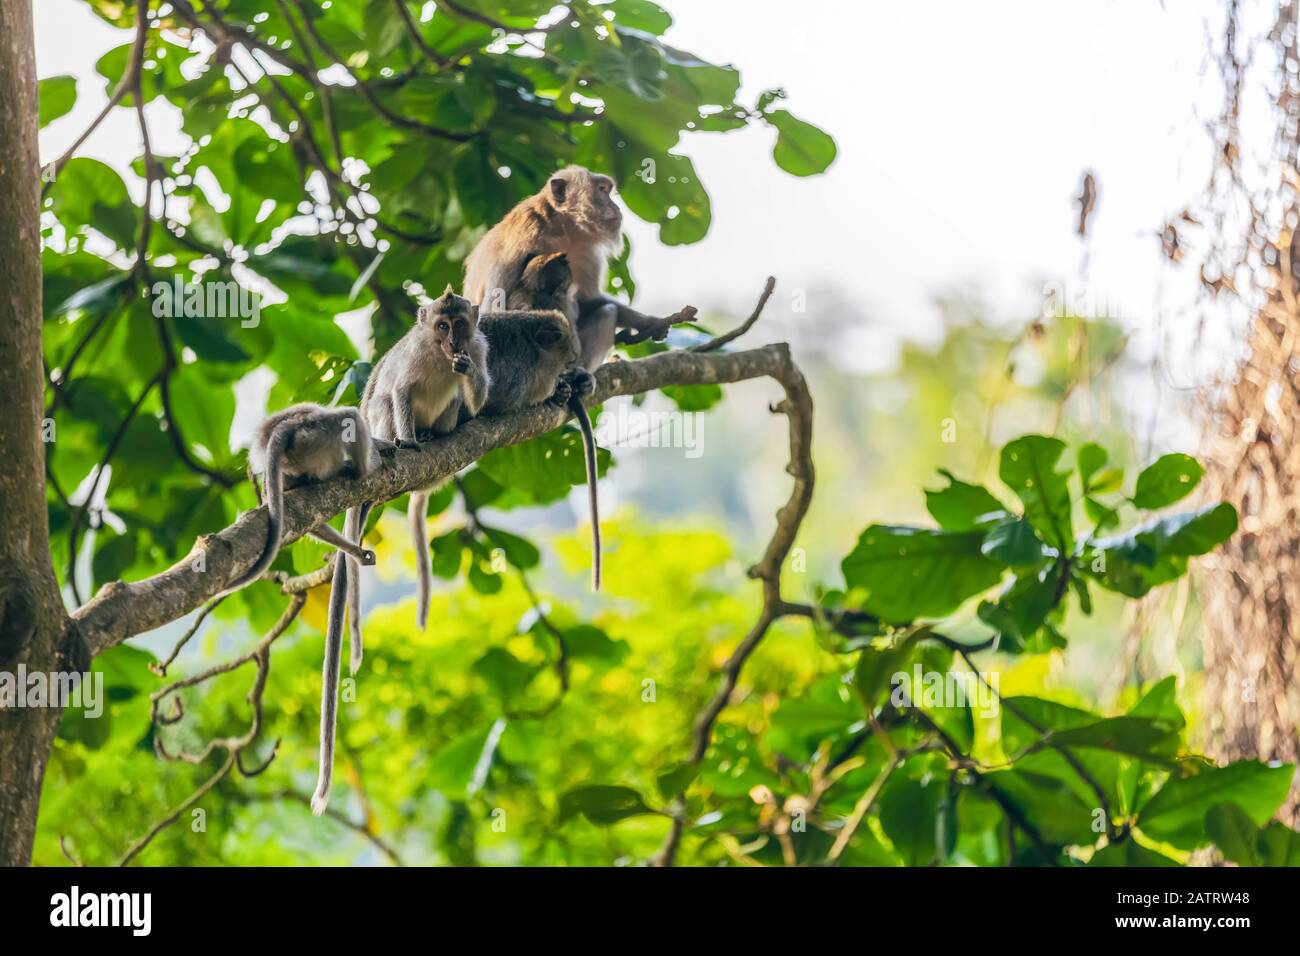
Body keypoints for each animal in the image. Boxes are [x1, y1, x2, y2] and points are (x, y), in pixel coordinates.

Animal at [462, 164, 696, 374]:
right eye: (602, 189)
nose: (617, 207)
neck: (560, 230)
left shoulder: (586, 252)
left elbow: (588, 300)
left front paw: (649, 323)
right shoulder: (520, 239)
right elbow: (495, 309)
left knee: (607, 312)